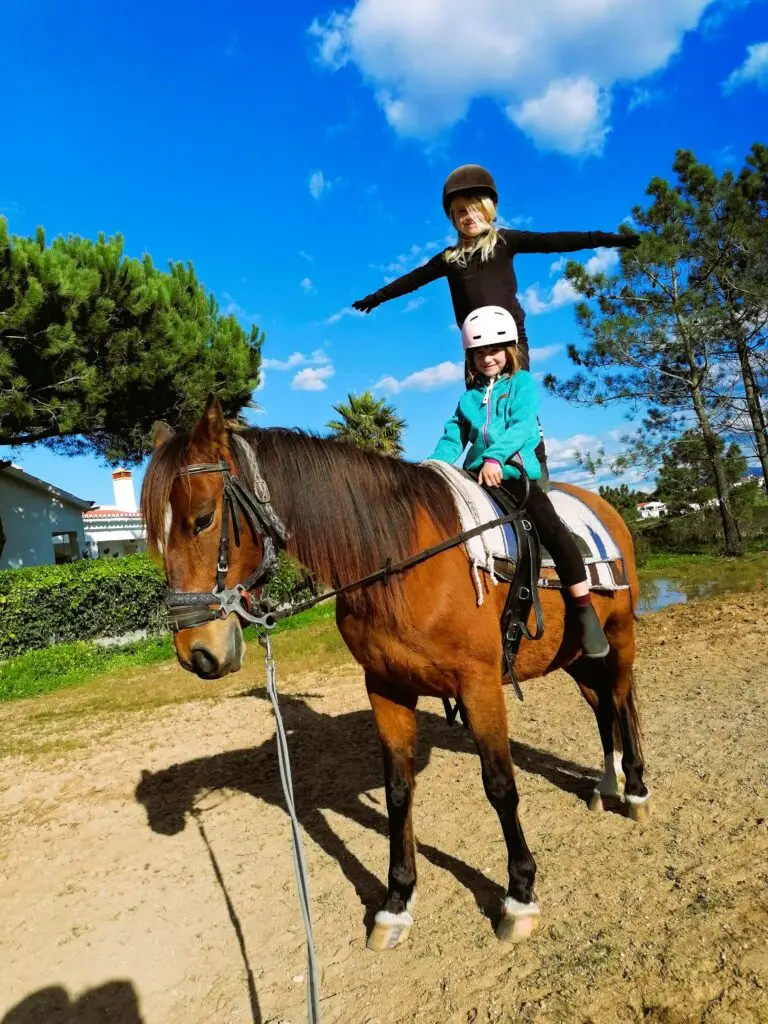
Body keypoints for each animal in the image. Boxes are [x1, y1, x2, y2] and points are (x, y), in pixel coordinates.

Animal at [140, 397, 651, 950]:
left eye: (203, 518)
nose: (196, 652)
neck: (400, 561)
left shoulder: (479, 686)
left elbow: (500, 785)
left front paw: (519, 895)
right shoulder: (385, 688)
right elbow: (398, 792)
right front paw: (396, 903)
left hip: (618, 639)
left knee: (620, 700)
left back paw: (636, 789)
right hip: (575, 656)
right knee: (602, 708)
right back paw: (606, 784)